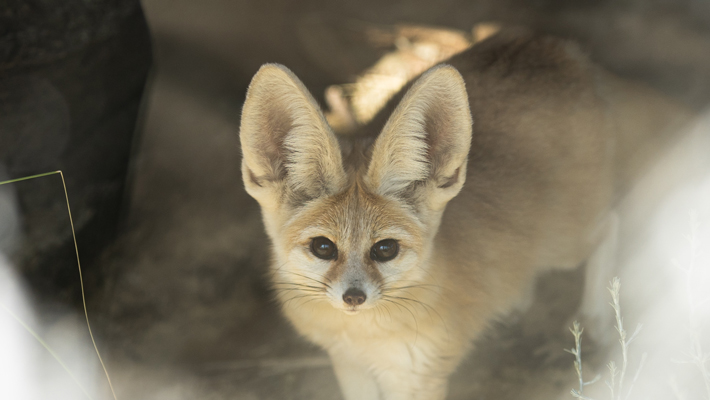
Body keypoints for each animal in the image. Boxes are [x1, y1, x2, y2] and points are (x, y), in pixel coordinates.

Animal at [238, 32, 688, 400]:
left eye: (384, 250)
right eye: (323, 248)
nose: (353, 297)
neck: (364, 336)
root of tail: (558, 46)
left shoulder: (417, 378)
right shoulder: (350, 366)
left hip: (567, 238)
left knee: (610, 224)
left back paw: (591, 318)